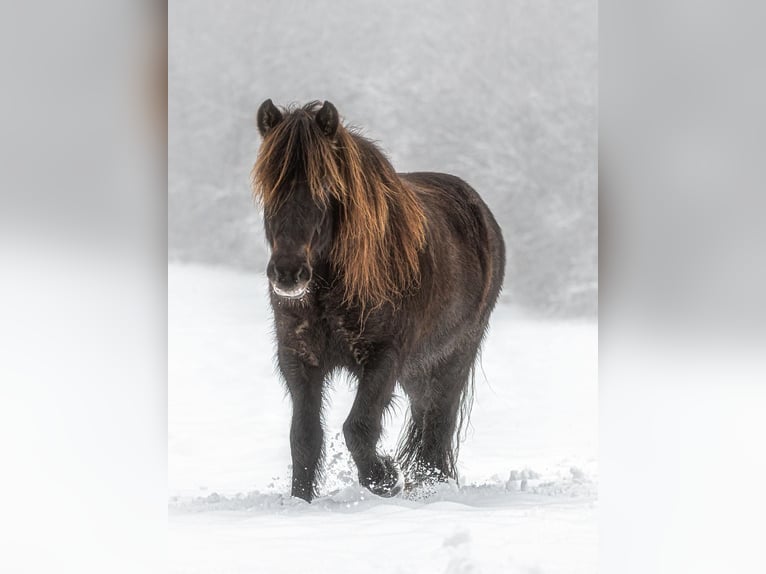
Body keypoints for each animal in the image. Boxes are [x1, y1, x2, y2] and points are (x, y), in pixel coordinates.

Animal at [250, 100, 504, 504]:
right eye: (269, 189)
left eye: (325, 186)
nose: (288, 274)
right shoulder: (299, 359)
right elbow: (304, 437)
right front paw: (300, 501)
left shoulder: (384, 357)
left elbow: (359, 426)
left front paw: (384, 479)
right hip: (418, 372)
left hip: (451, 361)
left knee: (437, 427)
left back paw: (429, 487)